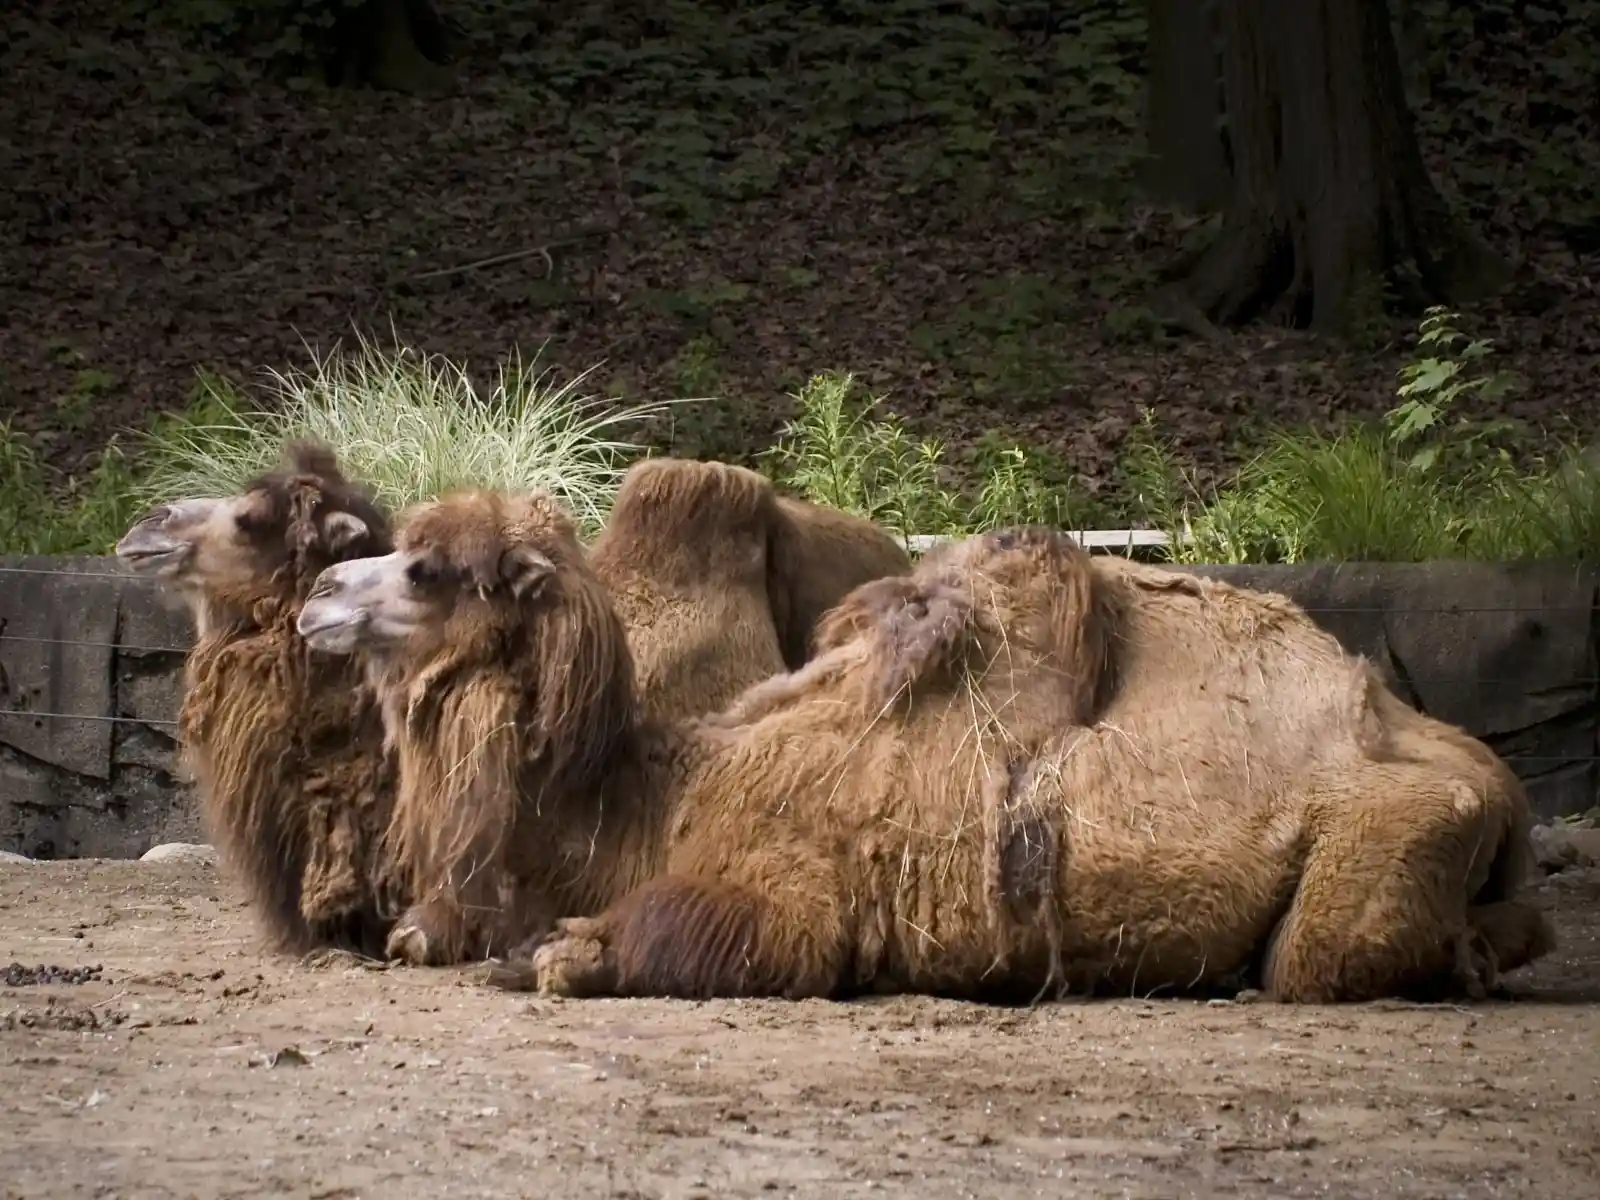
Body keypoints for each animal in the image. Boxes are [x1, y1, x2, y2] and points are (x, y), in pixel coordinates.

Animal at [297, 499, 1548, 1004]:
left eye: (429, 570)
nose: (315, 596)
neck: (665, 795)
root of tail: (1495, 782)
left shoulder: (785, 891)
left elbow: (693, 935)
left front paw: (563, 951)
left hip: (1384, 837)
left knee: (1318, 959)